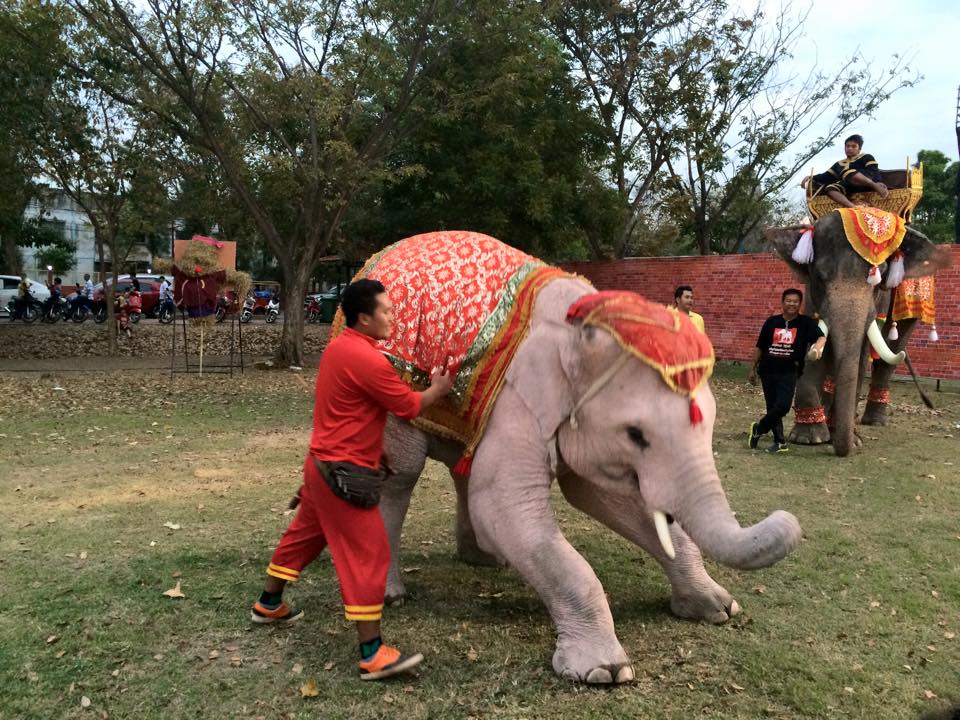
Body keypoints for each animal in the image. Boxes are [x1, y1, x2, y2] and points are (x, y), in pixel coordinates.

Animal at [338, 232, 804, 688]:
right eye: (636, 435)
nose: (788, 517)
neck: (580, 327)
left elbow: (602, 497)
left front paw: (721, 610)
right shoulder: (518, 397)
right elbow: (505, 505)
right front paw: (605, 672)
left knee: (461, 468)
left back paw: (486, 560)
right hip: (385, 384)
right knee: (400, 475)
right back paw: (392, 595)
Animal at [764, 211, 952, 456]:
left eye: (880, 280)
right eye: (819, 276)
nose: (842, 450)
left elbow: (861, 357)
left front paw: (850, 440)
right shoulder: (811, 298)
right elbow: (815, 347)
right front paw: (809, 437)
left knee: (890, 354)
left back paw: (874, 421)